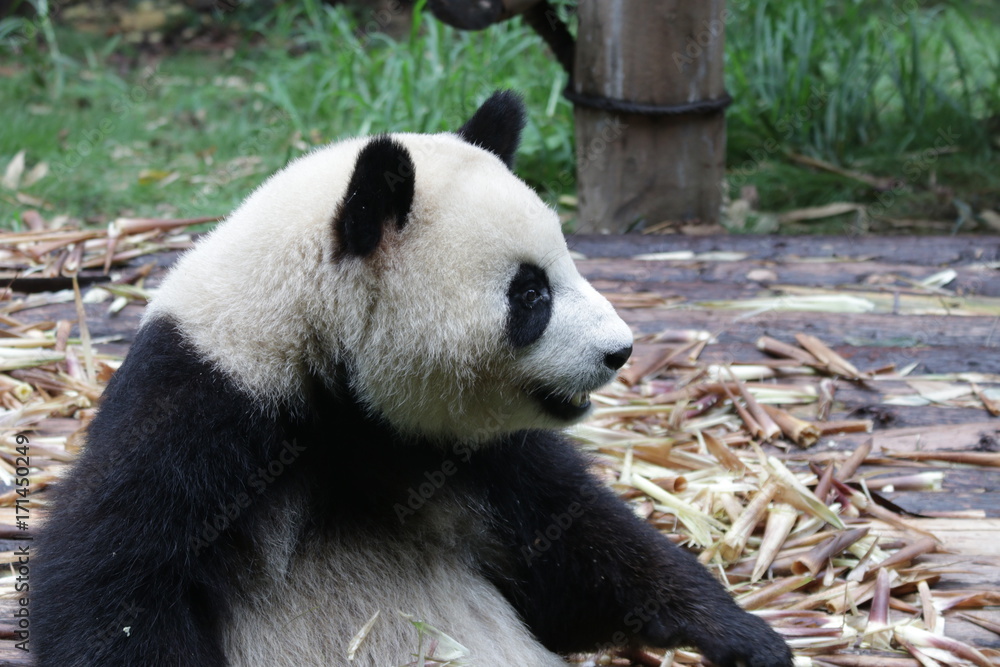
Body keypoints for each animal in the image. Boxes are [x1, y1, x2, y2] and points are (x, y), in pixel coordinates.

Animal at [35, 92, 792, 667]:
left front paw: (743, 634)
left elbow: (572, 552)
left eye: (567, 263)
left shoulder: (463, 451)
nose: (620, 351)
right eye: (531, 294)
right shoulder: (207, 406)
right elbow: (115, 581)